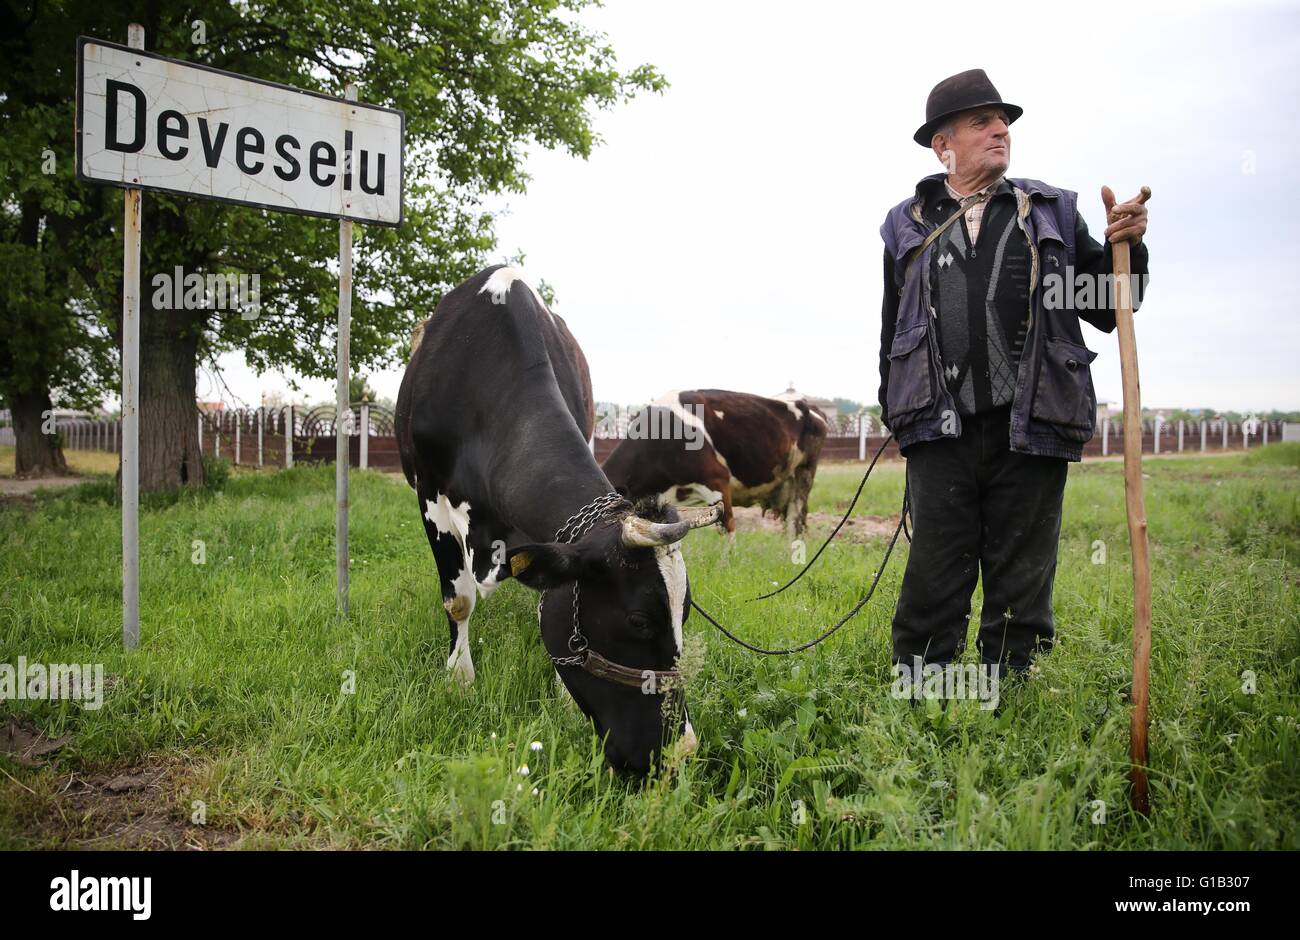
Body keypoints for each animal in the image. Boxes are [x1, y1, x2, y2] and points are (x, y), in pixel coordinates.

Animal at [395, 262, 722, 769]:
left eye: (683, 615)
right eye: (638, 621)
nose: (680, 750)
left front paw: (564, 698)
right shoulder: (432, 496)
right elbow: (459, 601)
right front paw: (459, 680)